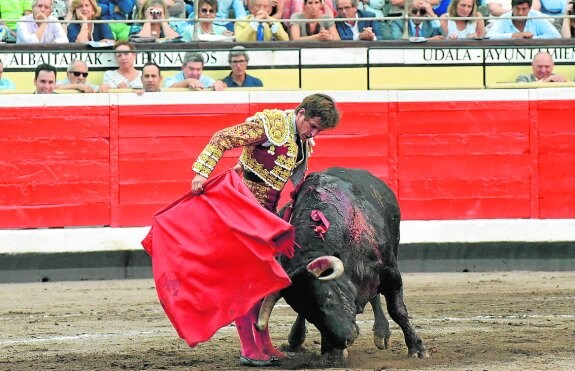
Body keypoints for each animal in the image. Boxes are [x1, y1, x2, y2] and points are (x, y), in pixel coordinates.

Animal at [256, 169, 428, 360]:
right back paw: (296, 339)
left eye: (329, 296)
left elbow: (397, 311)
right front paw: (332, 351)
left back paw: (382, 333)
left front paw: (417, 348)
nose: (345, 340)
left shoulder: (391, 274)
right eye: (308, 312)